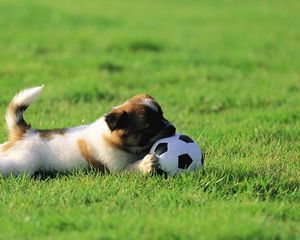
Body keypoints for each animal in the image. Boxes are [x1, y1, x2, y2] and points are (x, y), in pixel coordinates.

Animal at [0, 85, 176, 175]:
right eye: (150, 128)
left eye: (162, 115)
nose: (173, 128)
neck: (114, 140)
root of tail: (25, 132)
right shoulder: (118, 169)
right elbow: (133, 167)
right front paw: (146, 164)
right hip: (22, 163)